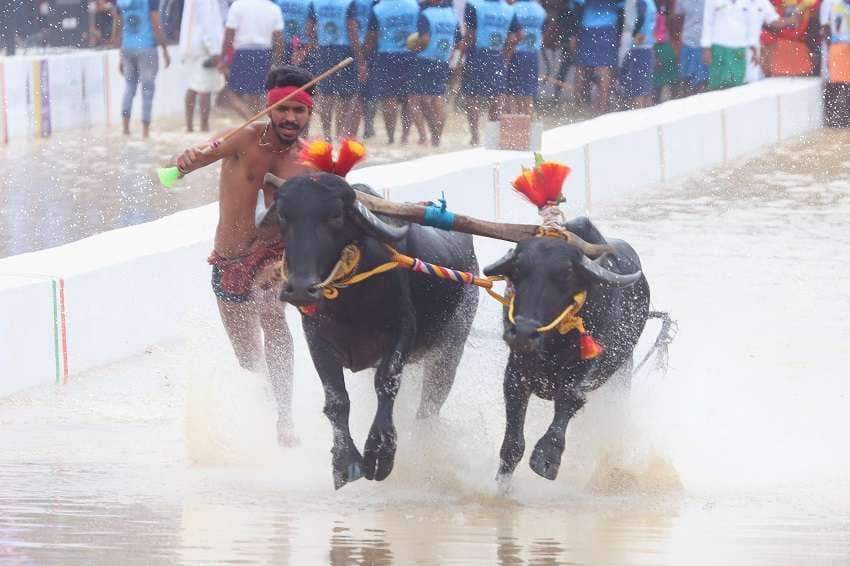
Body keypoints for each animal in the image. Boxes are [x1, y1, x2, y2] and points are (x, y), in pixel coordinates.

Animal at [266, 172, 476, 488]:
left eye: (335, 215)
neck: (350, 300)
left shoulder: (402, 329)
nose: (301, 289)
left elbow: (386, 383)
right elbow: (336, 399)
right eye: (282, 215)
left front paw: (380, 452)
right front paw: (345, 461)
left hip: (449, 351)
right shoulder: (316, 337)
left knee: (429, 406)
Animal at [480, 219, 644, 488]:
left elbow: (568, 401)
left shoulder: (582, 372)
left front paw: (547, 457)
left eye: (566, 274)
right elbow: (513, 444)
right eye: (518, 269)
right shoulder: (516, 373)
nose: (523, 332)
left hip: (621, 372)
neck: (553, 343)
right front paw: (502, 485)